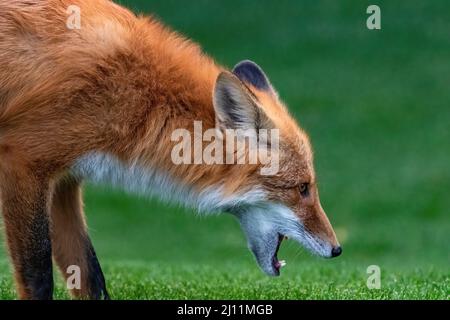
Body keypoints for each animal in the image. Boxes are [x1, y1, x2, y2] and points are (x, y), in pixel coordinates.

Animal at [0, 0, 340, 300]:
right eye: (302, 187)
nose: (337, 249)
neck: (136, 90)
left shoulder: (65, 180)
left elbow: (90, 275)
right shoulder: (24, 161)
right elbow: (39, 277)